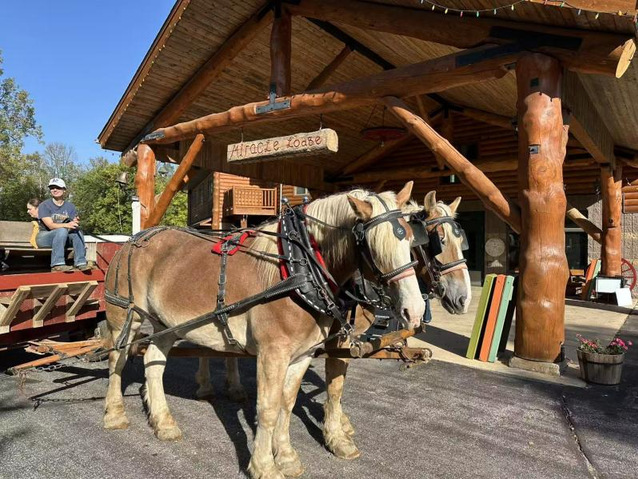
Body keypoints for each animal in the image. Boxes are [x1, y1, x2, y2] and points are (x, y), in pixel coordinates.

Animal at [102, 182, 426, 479]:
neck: (299, 268)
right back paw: (115, 414)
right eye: (372, 245)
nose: (415, 311)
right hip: (126, 317)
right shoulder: (273, 353)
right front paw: (264, 466)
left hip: (164, 324)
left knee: (153, 363)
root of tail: (131, 241)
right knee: (117, 360)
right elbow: (268, 408)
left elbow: (287, 403)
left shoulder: (302, 355)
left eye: (410, 239)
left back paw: (164, 423)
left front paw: (287, 457)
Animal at [194, 190, 472, 460]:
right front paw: (336, 433)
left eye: (462, 243)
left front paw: (339, 423)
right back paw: (207, 385)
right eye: (438, 241)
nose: (463, 299)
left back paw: (234, 386)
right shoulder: (339, 336)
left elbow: (335, 382)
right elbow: (335, 383)